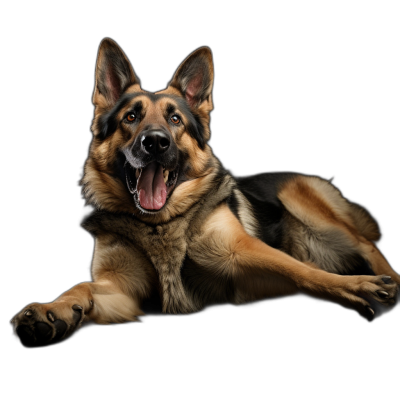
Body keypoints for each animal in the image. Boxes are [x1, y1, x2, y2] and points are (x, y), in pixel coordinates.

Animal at [10, 38, 400, 346]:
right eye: (131, 117)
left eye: (175, 120)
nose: (155, 143)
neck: (159, 226)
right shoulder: (123, 290)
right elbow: (81, 287)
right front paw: (51, 310)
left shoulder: (247, 254)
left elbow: (304, 272)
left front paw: (357, 288)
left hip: (308, 207)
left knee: (366, 243)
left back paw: (388, 278)